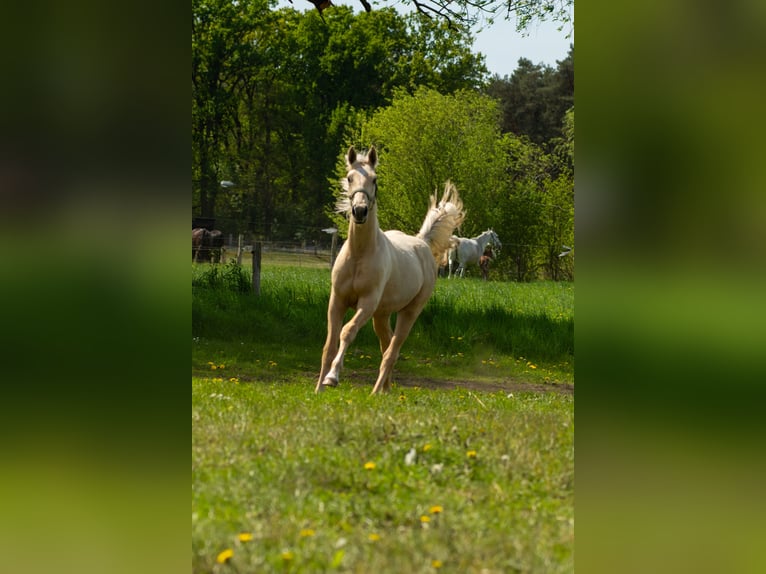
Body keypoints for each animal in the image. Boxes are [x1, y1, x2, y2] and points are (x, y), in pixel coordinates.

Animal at [316, 146, 465, 395]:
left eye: (375, 179)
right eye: (349, 177)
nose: (359, 211)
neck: (359, 255)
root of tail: (422, 243)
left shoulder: (367, 302)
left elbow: (347, 331)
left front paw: (332, 377)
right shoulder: (337, 300)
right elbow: (329, 346)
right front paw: (319, 389)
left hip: (409, 313)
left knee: (392, 352)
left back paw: (376, 392)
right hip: (382, 315)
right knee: (386, 347)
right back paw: (384, 390)